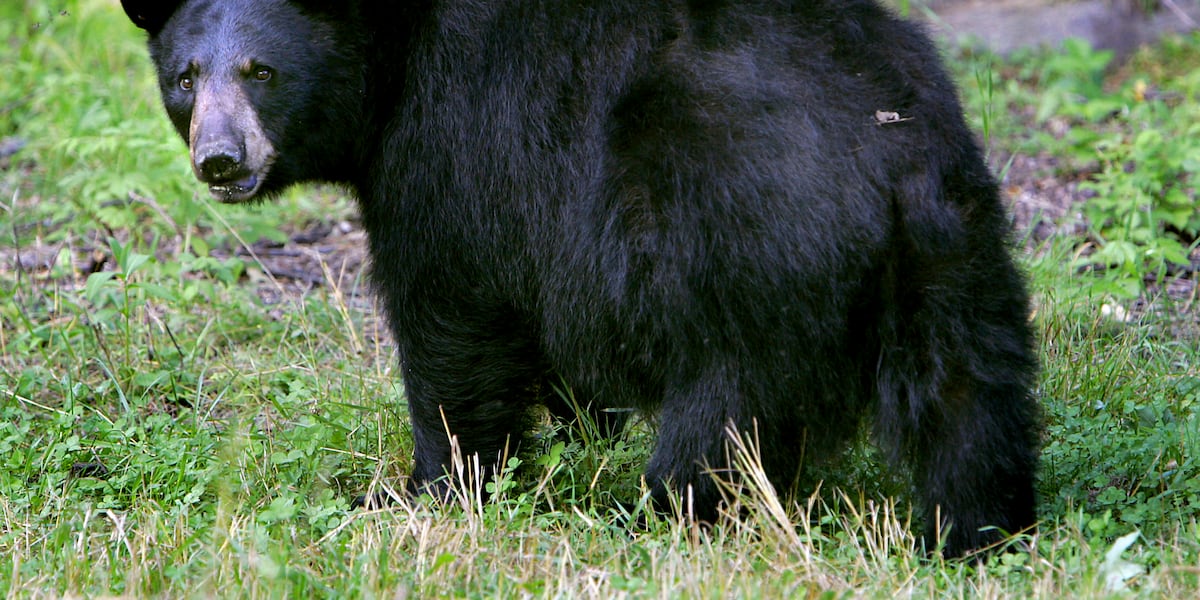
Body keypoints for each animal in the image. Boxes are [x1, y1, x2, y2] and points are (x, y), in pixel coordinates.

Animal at [122, 0, 1041, 557]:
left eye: (261, 72)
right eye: (185, 77)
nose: (220, 160)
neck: (395, 53)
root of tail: (884, 154)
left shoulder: (453, 148)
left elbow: (450, 322)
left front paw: (430, 492)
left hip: (748, 253)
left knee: (726, 419)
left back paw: (659, 516)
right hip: (955, 253)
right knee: (971, 397)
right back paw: (976, 530)